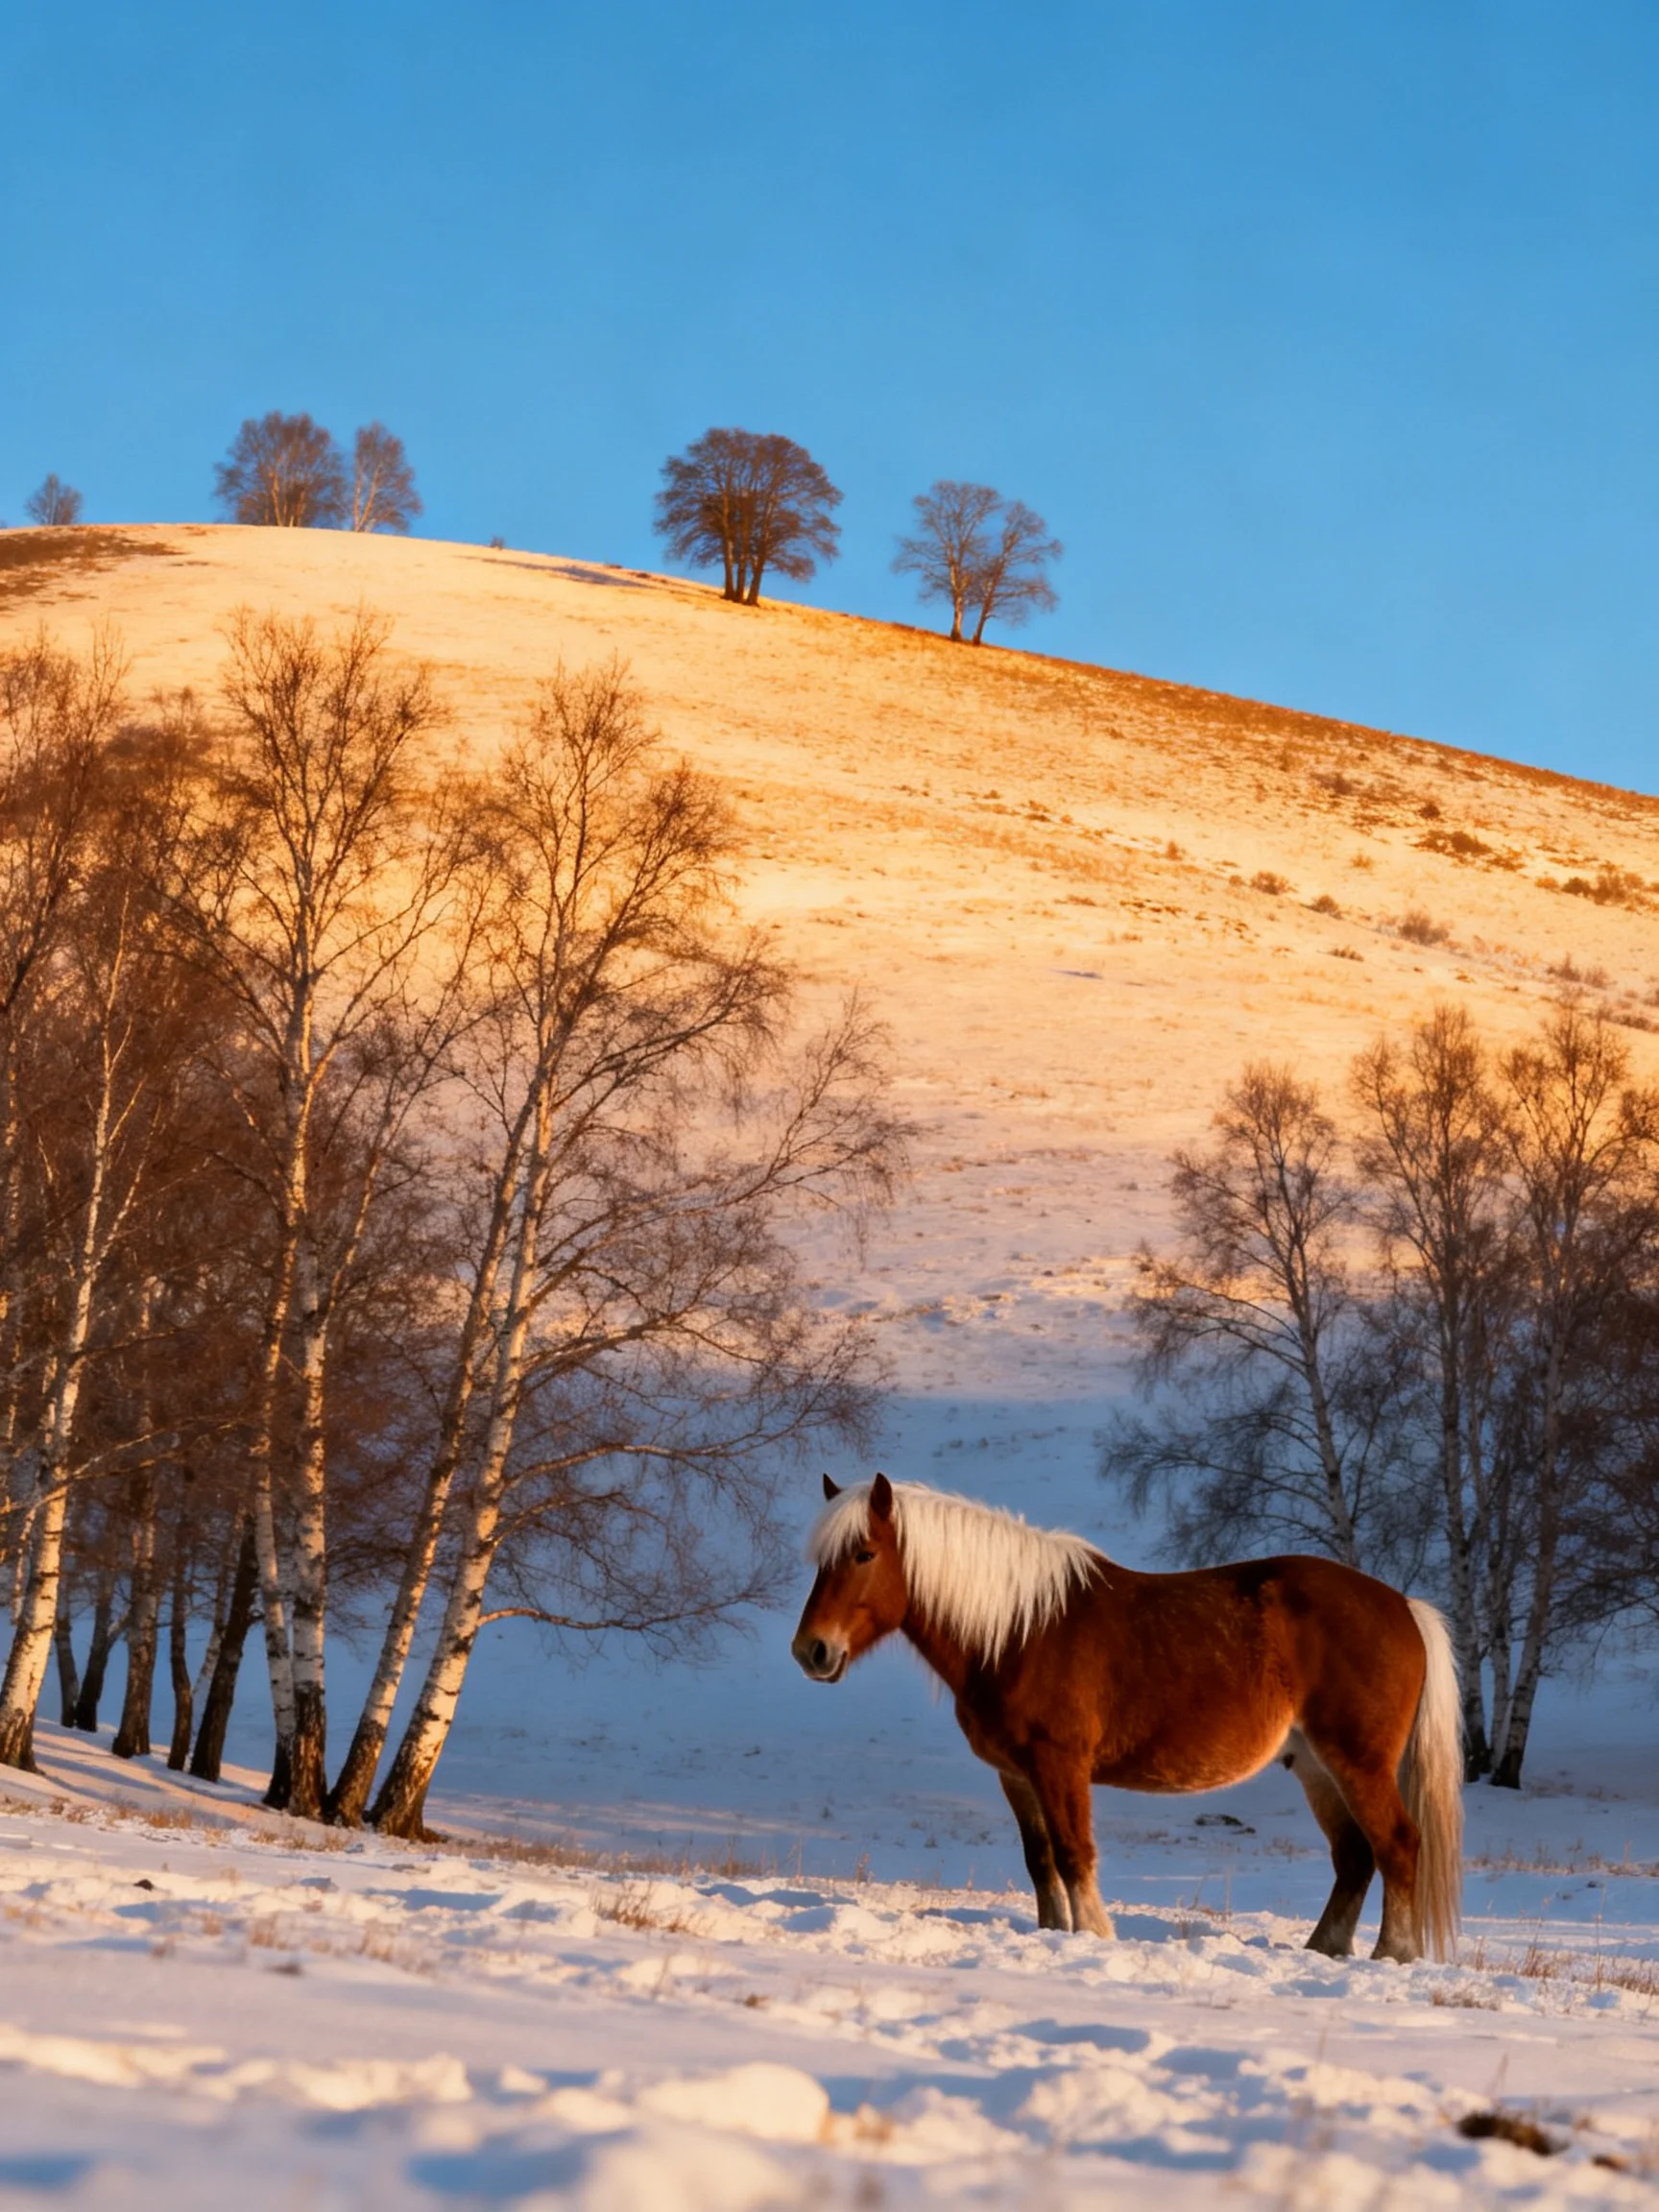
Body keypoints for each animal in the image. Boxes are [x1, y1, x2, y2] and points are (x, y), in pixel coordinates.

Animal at [791, 1473, 1463, 1962]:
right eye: (821, 1561)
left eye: (864, 1554)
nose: (812, 1651)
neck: (1018, 1631)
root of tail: (1404, 1606)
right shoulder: (1015, 1774)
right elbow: (1040, 1862)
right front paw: (1055, 1936)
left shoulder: (1059, 1764)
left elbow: (1073, 1853)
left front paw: (1095, 1935)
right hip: (1316, 1768)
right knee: (1355, 1857)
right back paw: (1323, 1951)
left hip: (1357, 1762)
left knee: (1398, 1845)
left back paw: (1392, 1955)